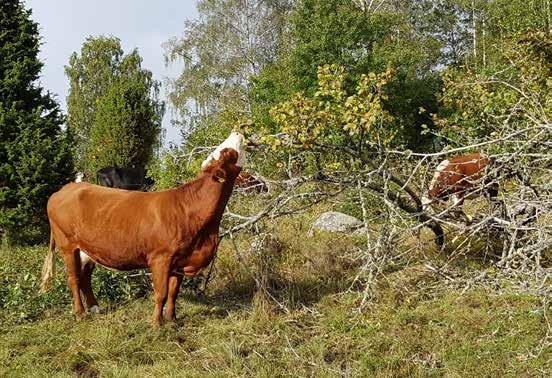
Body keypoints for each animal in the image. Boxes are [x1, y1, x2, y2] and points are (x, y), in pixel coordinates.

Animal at [40, 132, 243, 324]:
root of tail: (66, 189)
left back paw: (94, 307)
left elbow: (173, 292)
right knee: (73, 278)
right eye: (225, 152)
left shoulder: (180, 259)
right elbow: (161, 293)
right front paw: (157, 324)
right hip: (68, 246)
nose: (237, 133)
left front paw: (172, 319)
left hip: (87, 250)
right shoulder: (160, 258)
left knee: (84, 277)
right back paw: (80, 313)